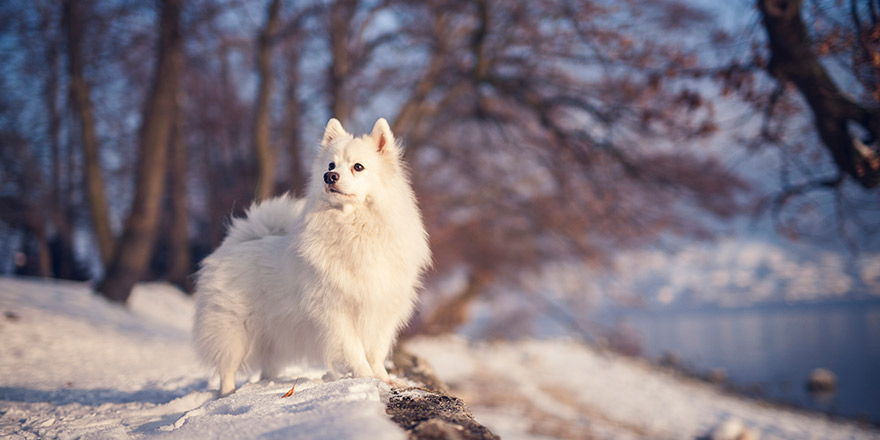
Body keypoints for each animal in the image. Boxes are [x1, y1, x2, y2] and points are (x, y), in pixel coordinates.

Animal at [197, 117, 436, 396]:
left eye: (358, 167)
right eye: (331, 165)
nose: (329, 176)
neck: (355, 229)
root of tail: (237, 242)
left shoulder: (381, 310)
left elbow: (376, 352)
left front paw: (384, 379)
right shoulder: (337, 312)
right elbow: (355, 351)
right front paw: (366, 378)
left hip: (273, 334)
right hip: (234, 329)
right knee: (227, 368)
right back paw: (228, 393)